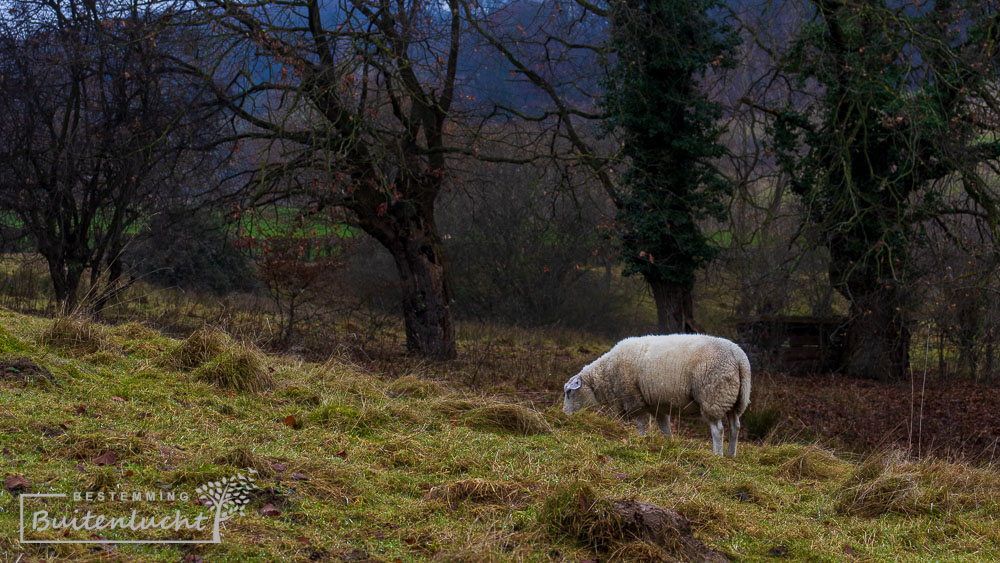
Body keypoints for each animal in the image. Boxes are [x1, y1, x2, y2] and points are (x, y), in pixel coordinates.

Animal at [564, 334, 752, 458]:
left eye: (569, 392)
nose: (564, 413)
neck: (606, 375)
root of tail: (739, 357)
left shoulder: (634, 400)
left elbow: (641, 424)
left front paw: (641, 439)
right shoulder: (658, 405)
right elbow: (664, 428)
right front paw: (668, 444)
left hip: (713, 395)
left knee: (718, 430)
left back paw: (717, 454)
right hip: (736, 399)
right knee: (735, 426)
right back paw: (731, 454)